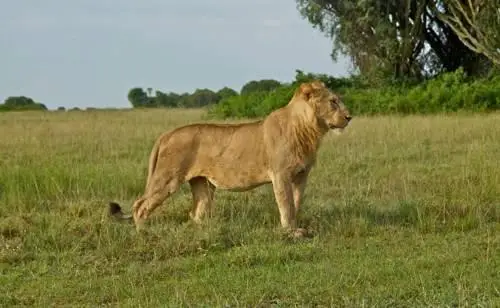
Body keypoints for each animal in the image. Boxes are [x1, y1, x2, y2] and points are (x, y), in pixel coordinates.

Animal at [108, 80, 352, 238]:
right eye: (333, 102)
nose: (349, 117)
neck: (309, 130)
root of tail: (166, 134)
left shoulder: (301, 175)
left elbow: (297, 202)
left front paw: (297, 227)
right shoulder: (281, 174)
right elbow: (286, 204)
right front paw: (291, 232)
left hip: (202, 184)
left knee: (195, 212)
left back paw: (205, 231)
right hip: (167, 179)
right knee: (140, 206)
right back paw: (144, 233)